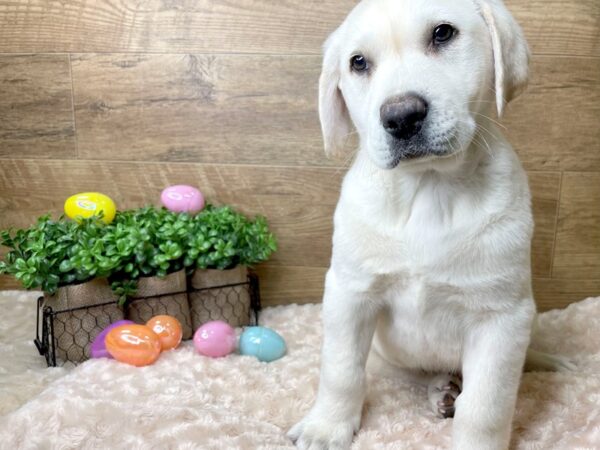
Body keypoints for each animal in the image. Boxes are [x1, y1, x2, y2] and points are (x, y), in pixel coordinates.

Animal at [288, 0, 568, 450]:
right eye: (358, 62)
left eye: (443, 33)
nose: (401, 117)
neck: (429, 189)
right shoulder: (350, 293)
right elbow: (340, 370)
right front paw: (326, 427)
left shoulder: (501, 318)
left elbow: (486, 404)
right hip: (387, 355)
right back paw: (442, 389)